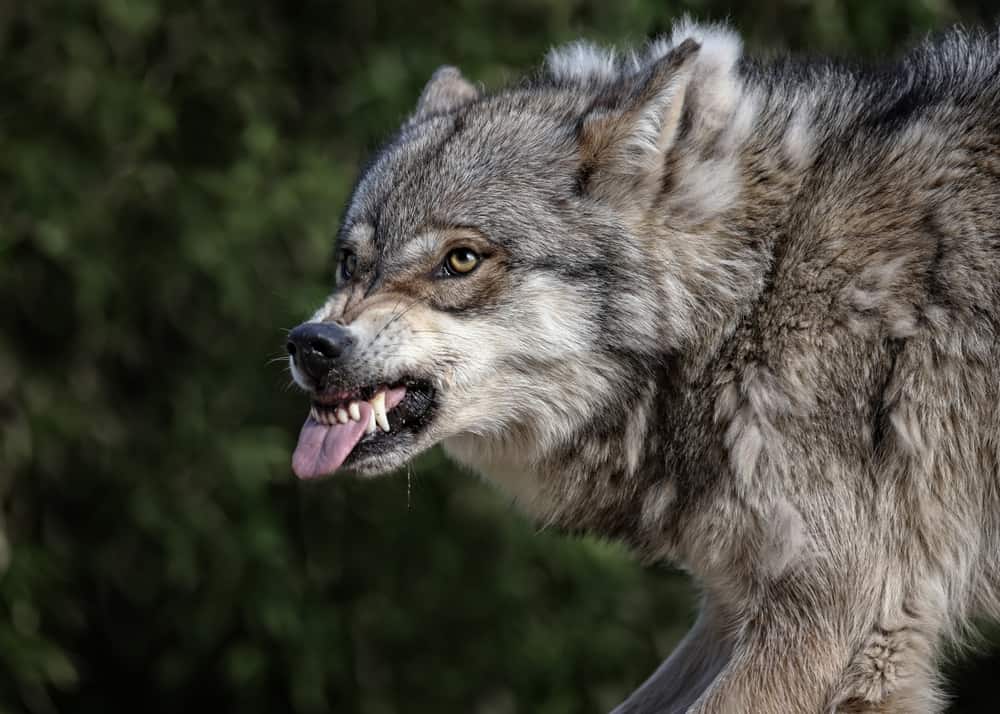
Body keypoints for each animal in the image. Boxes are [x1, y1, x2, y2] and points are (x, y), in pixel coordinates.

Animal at [285, 19, 1000, 712]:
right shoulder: (733, 610)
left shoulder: (838, 617)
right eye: (349, 262)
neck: (751, 295)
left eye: (460, 260)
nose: (311, 343)